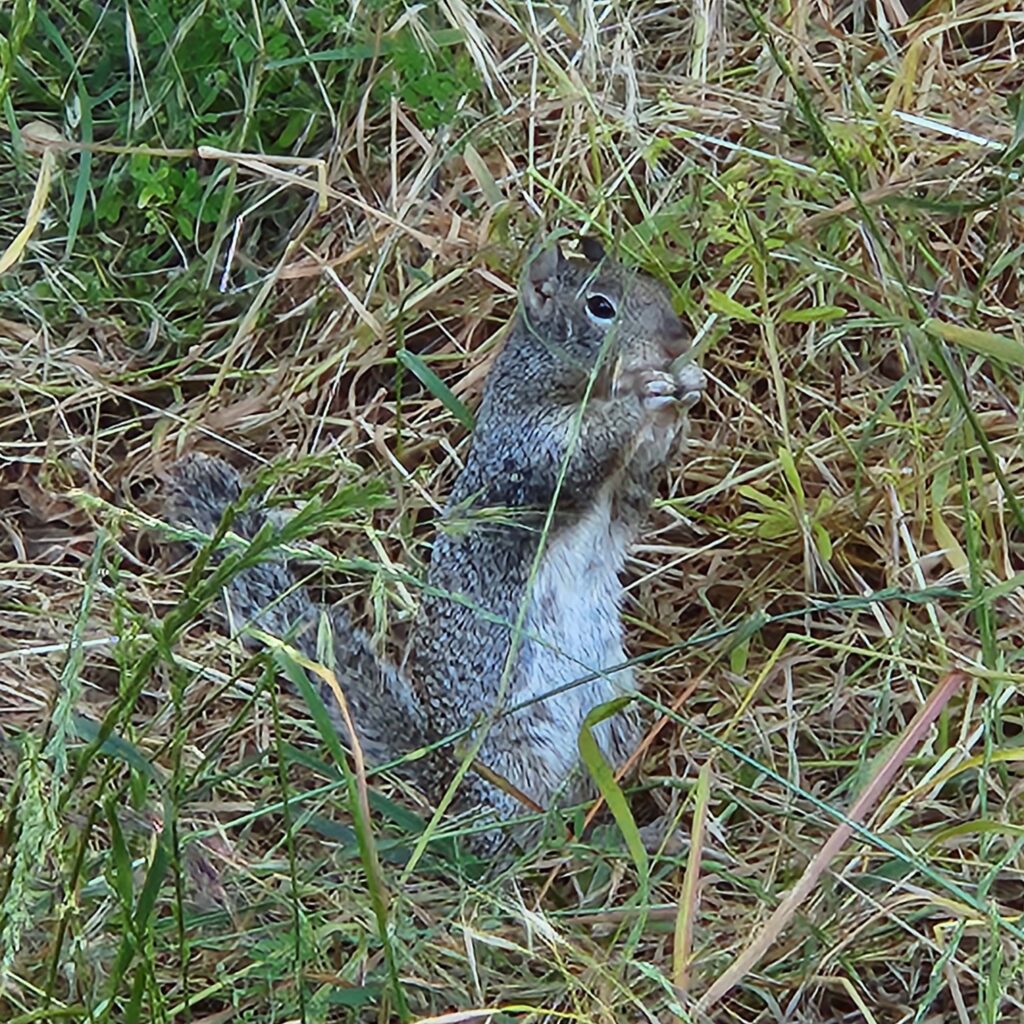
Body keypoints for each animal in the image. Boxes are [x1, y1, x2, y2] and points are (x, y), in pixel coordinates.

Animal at [166, 236, 706, 855]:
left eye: (651, 283)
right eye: (600, 306)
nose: (679, 340)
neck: (559, 385)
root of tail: (455, 794)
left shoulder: (621, 496)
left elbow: (637, 490)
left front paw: (688, 387)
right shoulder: (522, 455)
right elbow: (578, 450)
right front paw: (646, 395)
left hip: (614, 723)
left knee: (594, 806)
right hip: (516, 758)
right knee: (532, 837)